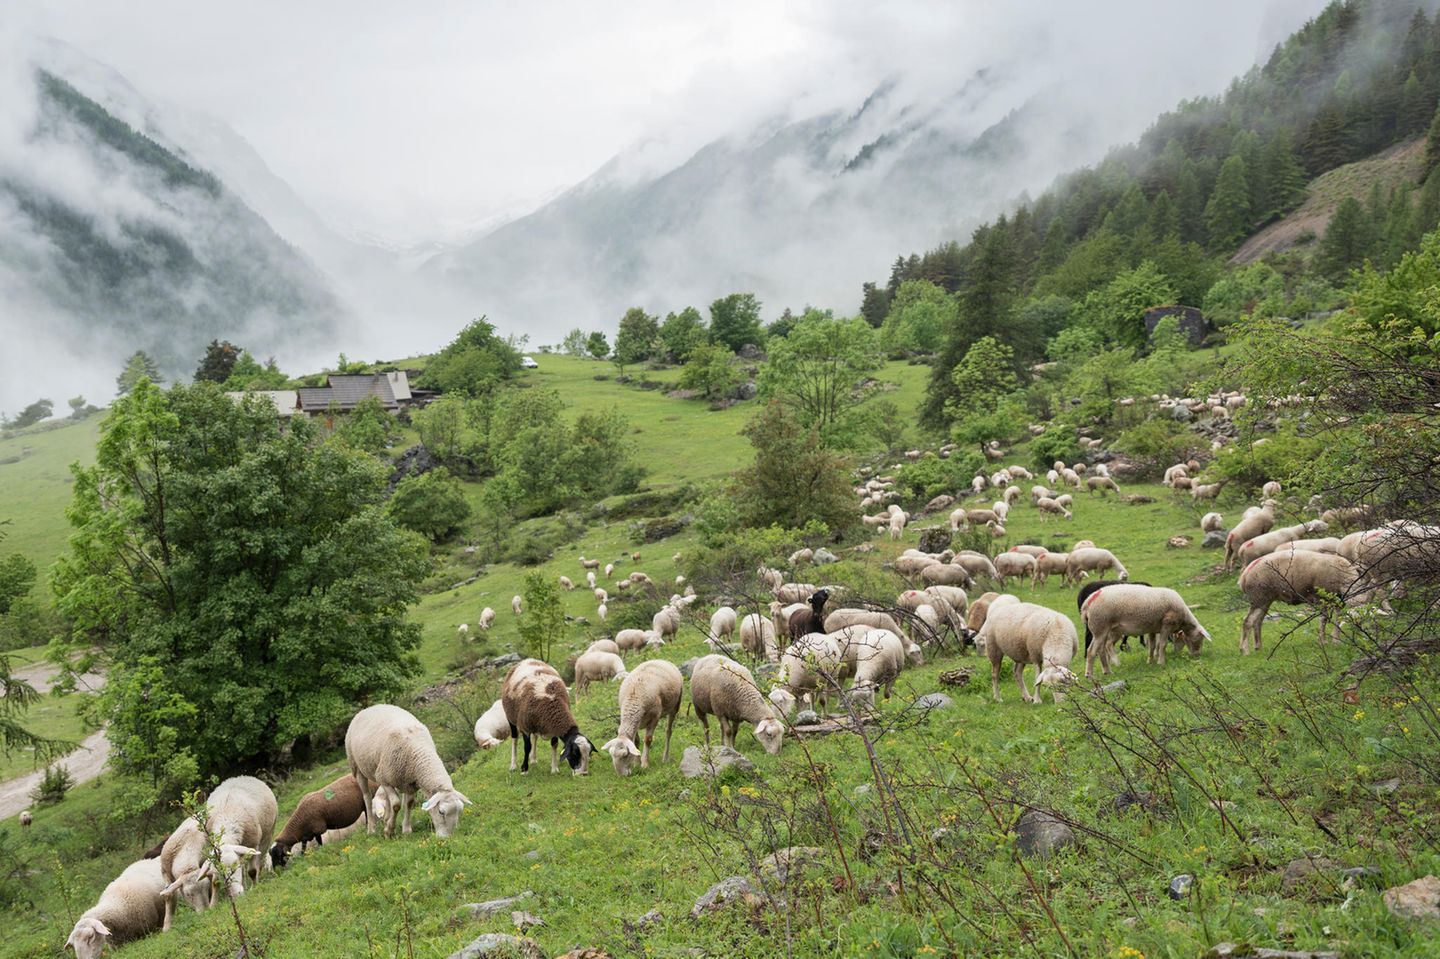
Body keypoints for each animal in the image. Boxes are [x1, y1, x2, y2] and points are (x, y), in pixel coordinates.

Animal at [159, 775, 277, 930]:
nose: (238, 895)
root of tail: (238, 777)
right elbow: (170, 896)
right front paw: (167, 928)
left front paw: (254, 887)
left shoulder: (252, 844)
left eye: (235, 866)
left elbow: (251, 871)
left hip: (268, 832)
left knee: (261, 855)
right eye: (188, 894)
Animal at [345, 704, 472, 839]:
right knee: (367, 797)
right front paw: (389, 831)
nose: (446, 838)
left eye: (459, 811)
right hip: (357, 767)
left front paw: (406, 829)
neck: (419, 751)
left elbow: (409, 803)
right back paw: (371, 829)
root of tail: (370, 707)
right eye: (441, 812)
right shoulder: (384, 779)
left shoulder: (410, 782)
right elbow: (396, 805)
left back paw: (386, 819)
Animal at [1081, 584, 1210, 677]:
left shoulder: (1153, 629)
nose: (1197, 655)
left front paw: (1150, 661)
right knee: (1092, 651)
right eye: (1199, 639)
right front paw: (1161, 662)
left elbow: (1152, 646)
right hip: (1100, 627)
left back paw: (1107, 671)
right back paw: (1090, 675)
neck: (1183, 618)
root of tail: (1088, 602)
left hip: (1102, 630)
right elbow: (1162, 644)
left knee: (1101, 650)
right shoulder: (1166, 624)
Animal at [1238, 550, 1371, 654]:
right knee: (1248, 621)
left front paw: (1336, 640)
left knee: (1258, 621)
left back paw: (1258, 646)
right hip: (1258, 598)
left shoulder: (1338, 600)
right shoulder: (1321, 598)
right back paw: (1245, 650)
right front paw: (1323, 641)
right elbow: (1323, 619)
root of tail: (1245, 573)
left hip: (1265, 600)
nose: (1364, 635)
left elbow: (1338, 619)